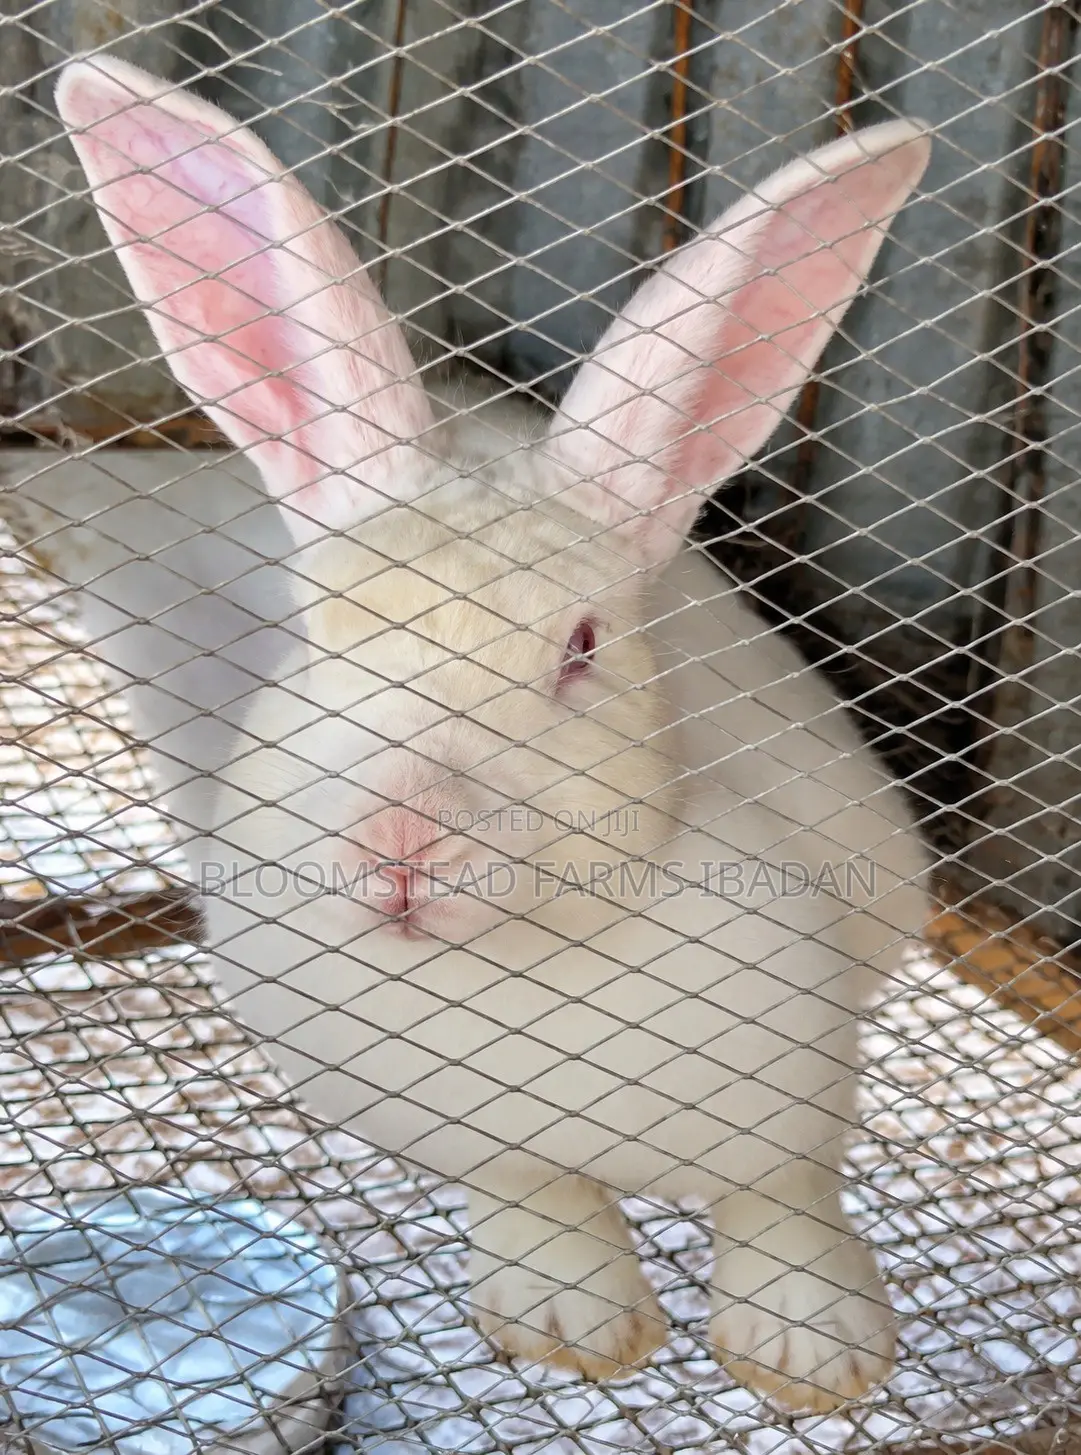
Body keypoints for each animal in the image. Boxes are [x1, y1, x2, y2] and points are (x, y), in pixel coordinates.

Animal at [46, 56, 932, 1412]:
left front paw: (815, 1352)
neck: (515, 980)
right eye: (318, 637)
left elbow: (786, 1201)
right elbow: (536, 1193)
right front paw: (572, 1321)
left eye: (580, 648)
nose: (401, 852)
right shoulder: (461, 1131)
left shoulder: (800, 1082)